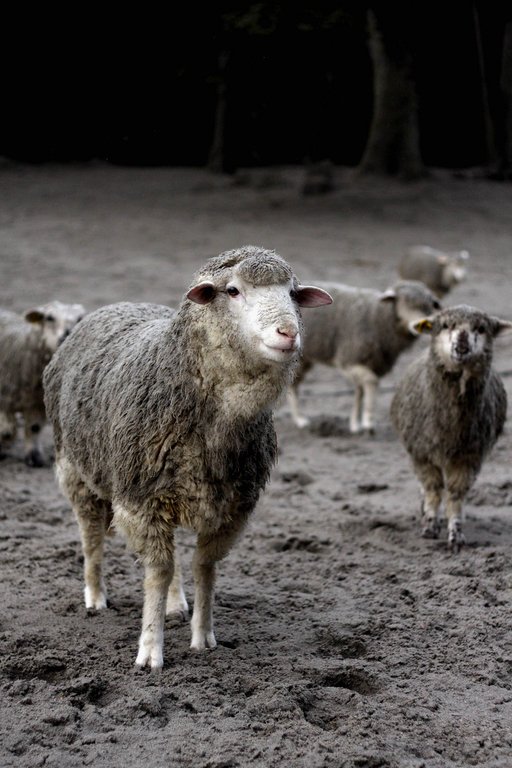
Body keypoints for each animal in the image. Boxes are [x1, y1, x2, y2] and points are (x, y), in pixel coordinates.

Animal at [0, 301, 86, 466]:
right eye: (49, 318)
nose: (66, 333)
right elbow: (7, 428)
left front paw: (34, 457)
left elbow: (34, 428)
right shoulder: (5, 395)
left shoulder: (37, 404)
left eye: (79, 318)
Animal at [42, 245, 332, 670]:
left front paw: (203, 636)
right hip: (76, 471)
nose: (288, 333)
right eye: (232, 291)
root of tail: (113, 306)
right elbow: (157, 573)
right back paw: (95, 596)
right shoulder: (141, 500)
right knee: (91, 536)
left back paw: (176, 604)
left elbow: (203, 567)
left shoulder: (231, 506)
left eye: (293, 294)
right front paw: (150, 651)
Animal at [287, 280, 441, 434]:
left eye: (429, 305)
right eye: (404, 302)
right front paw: (368, 422)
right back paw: (299, 419)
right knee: (293, 385)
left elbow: (359, 392)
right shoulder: (348, 359)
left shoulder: (369, 362)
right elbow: (371, 382)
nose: (419, 323)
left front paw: (355, 424)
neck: (378, 317)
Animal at [390, 305, 511, 552]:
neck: (450, 425)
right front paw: (429, 526)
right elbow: (433, 489)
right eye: (445, 325)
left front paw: (456, 533)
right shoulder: (422, 453)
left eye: (481, 328)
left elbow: (455, 494)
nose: (462, 341)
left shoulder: (469, 456)